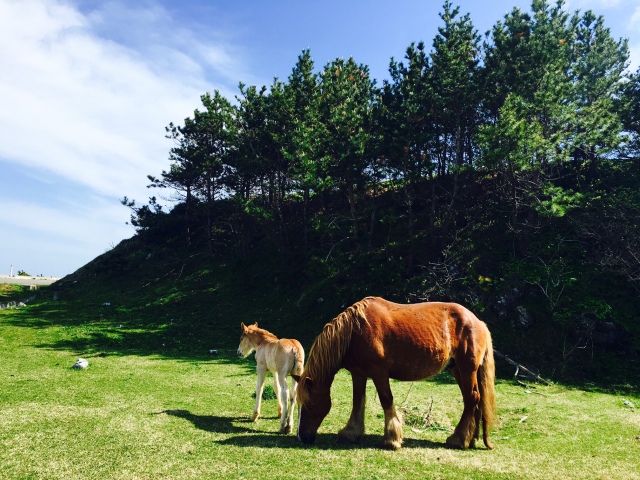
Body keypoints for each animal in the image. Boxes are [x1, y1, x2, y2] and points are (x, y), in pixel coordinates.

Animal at [292, 296, 498, 450]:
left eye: (310, 404)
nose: (303, 437)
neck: (355, 330)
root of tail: (477, 321)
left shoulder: (379, 372)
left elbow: (386, 400)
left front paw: (392, 439)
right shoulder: (358, 373)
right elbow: (358, 401)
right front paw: (351, 433)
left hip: (467, 368)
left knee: (472, 398)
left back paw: (459, 439)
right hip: (457, 369)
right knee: (474, 400)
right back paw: (471, 439)